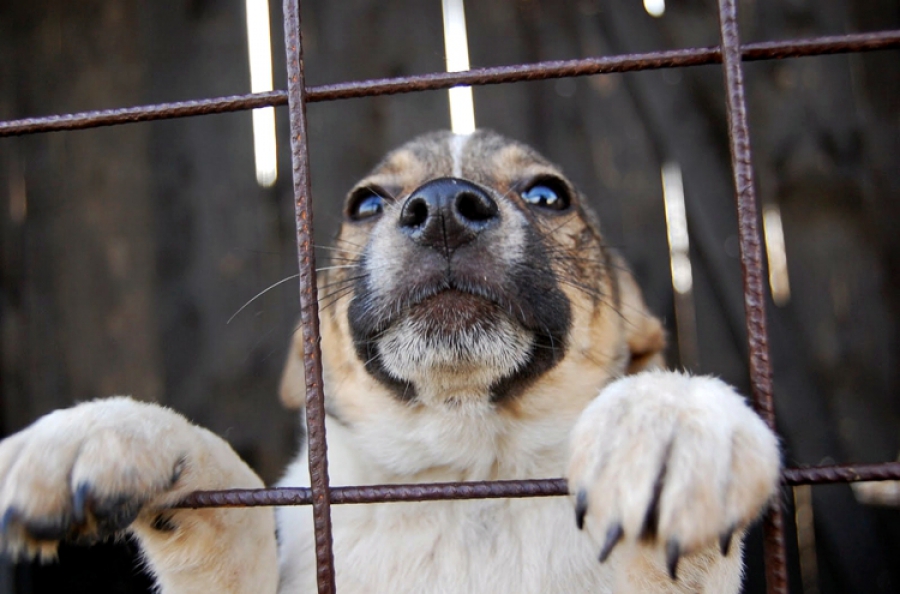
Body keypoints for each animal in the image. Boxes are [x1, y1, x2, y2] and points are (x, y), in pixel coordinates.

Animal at [0, 128, 780, 588]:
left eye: (547, 193)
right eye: (366, 204)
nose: (442, 209)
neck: (467, 481)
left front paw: (670, 424)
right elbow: (235, 501)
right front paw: (108, 433)